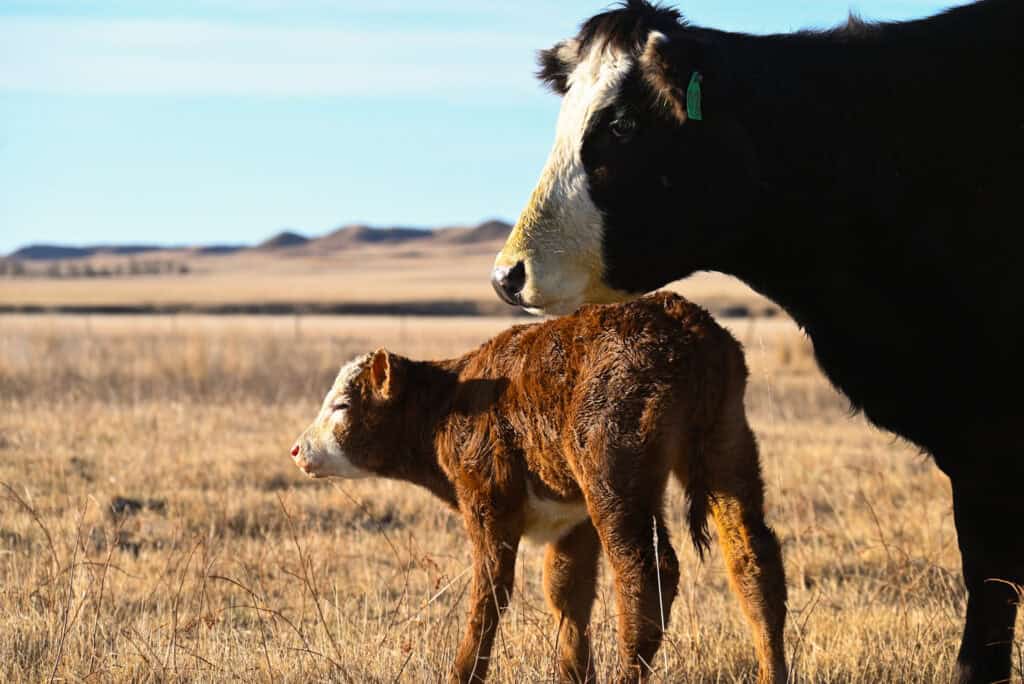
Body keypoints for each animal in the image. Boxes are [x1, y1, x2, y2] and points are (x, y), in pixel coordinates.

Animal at [291, 293, 787, 683]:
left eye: (342, 405)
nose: (298, 449)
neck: (449, 402)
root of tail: (687, 324)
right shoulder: (573, 518)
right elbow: (566, 592)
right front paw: (573, 675)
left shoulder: (486, 499)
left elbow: (490, 592)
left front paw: (462, 673)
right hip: (727, 446)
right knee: (752, 557)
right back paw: (773, 671)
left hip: (614, 473)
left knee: (647, 571)